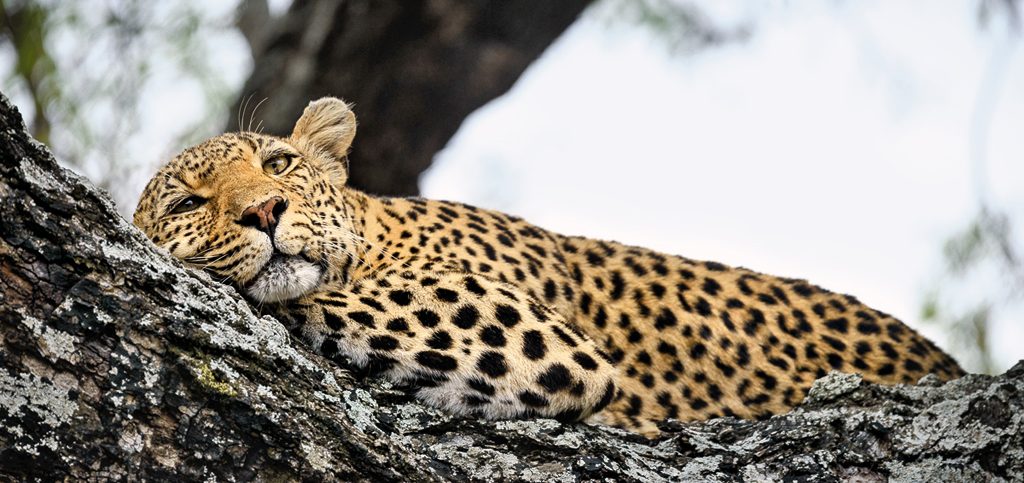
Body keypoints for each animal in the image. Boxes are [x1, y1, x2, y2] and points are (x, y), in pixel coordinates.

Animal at [133, 97, 965, 437]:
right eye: (188, 202)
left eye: (276, 163)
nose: (264, 212)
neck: (379, 232)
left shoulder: (517, 326)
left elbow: (315, 296)